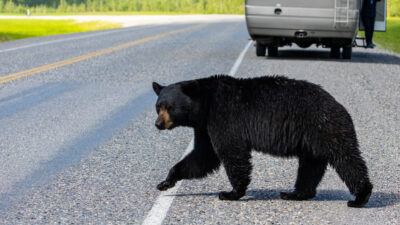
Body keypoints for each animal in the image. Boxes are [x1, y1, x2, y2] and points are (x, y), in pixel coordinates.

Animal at [152, 75, 372, 207]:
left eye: (170, 107)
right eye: (158, 106)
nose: (158, 124)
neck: (205, 104)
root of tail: (338, 105)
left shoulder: (224, 116)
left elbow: (231, 152)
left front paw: (231, 192)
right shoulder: (204, 127)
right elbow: (203, 156)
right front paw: (166, 182)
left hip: (326, 127)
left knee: (347, 159)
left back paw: (360, 197)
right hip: (312, 140)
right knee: (310, 167)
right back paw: (295, 193)